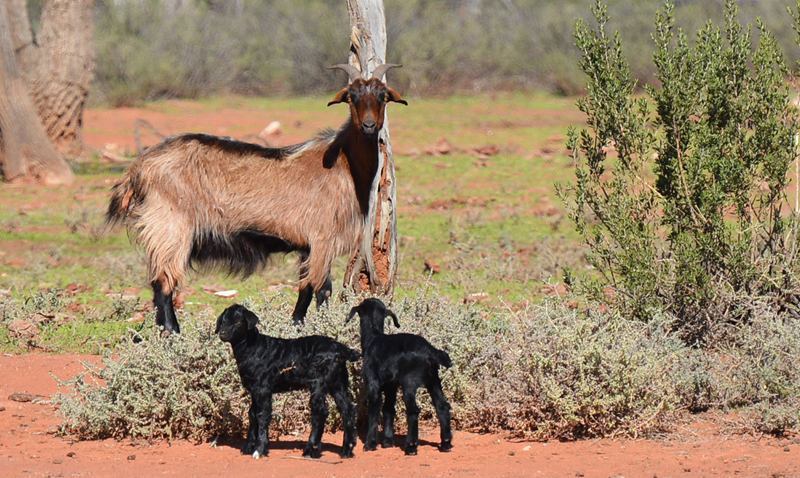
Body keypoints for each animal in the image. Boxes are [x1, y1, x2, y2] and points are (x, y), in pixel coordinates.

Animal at [106, 64, 407, 333]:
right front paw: (318, 326)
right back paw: (172, 332)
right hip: (170, 225)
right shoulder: (323, 238)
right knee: (164, 281)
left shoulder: (310, 245)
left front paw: (299, 326)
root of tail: (139, 166)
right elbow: (321, 289)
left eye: (383, 97)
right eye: (351, 97)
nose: (369, 126)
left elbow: (309, 288)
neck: (344, 163)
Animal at [216, 304, 360, 459]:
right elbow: (252, 414)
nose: (222, 333)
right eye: (223, 321)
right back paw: (346, 450)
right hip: (338, 381)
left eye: (238, 322)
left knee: (320, 411)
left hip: (318, 380)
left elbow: (262, 415)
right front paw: (248, 447)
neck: (253, 348)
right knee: (347, 409)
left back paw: (311, 449)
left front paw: (259, 450)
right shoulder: (254, 389)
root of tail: (340, 348)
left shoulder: (263, 388)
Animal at [347, 298, 453, 455]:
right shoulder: (391, 386)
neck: (373, 336)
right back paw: (446, 443)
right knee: (442, 406)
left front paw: (370, 443)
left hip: (409, 382)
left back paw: (411, 446)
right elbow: (388, 409)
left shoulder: (373, 384)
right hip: (433, 380)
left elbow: (374, 411)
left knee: (413, 411)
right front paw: (387, 441)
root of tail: (430, 351)